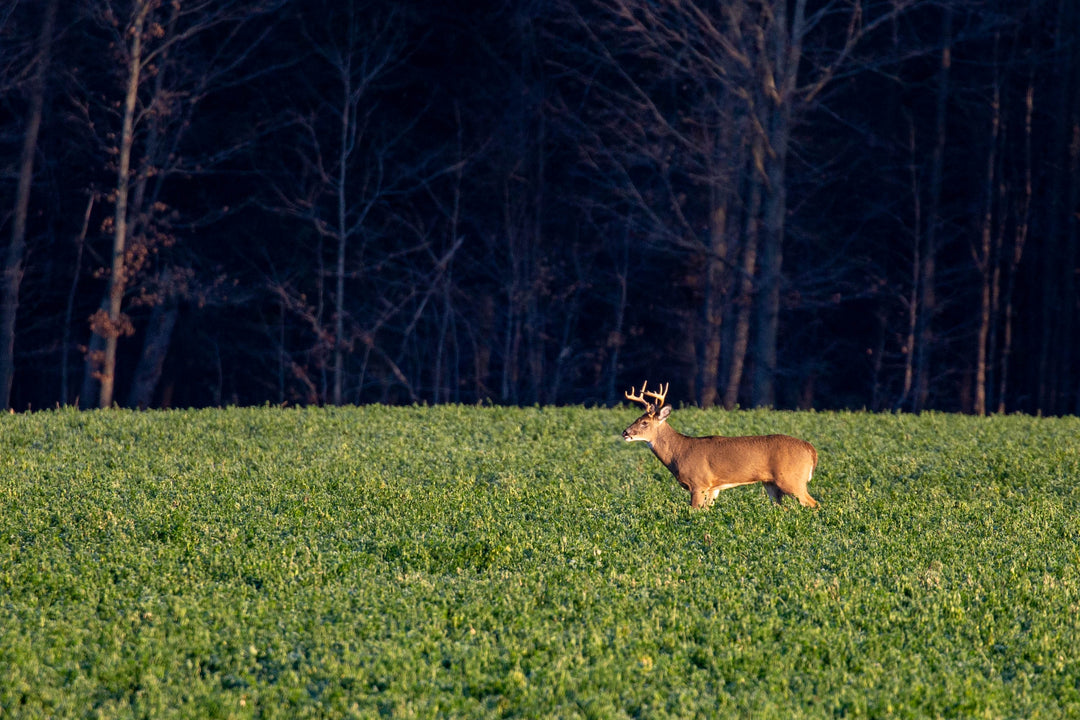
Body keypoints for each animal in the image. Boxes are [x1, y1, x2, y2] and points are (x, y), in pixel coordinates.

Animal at [626, 379, 816, 509]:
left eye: (644, 422)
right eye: (637, 418)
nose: (625, 433)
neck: (679, 452)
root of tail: (811, 449)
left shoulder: (698, 483)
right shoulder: (712, 488)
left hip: (792, 479)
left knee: (814, 504)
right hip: (771, 484)